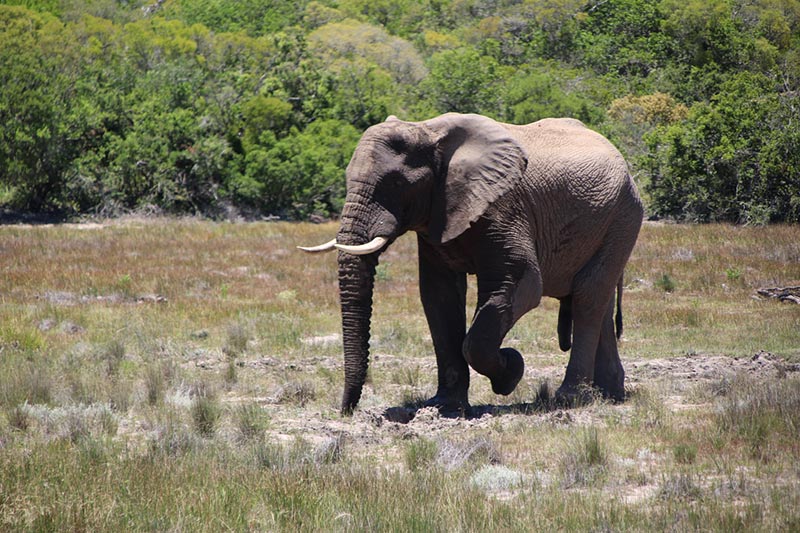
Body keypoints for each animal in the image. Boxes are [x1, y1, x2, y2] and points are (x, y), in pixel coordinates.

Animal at [300, 112, 644, 414]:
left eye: (396, 183)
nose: (347, 410)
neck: (428, 130)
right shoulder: (439, 215)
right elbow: (439, 296)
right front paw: (445, 406)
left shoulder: (504, 206)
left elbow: (519, 285)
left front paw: (511, 372)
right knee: (598, 300)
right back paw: (610, 394)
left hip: (623, 217)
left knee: (589, 297)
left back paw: (569, 398)